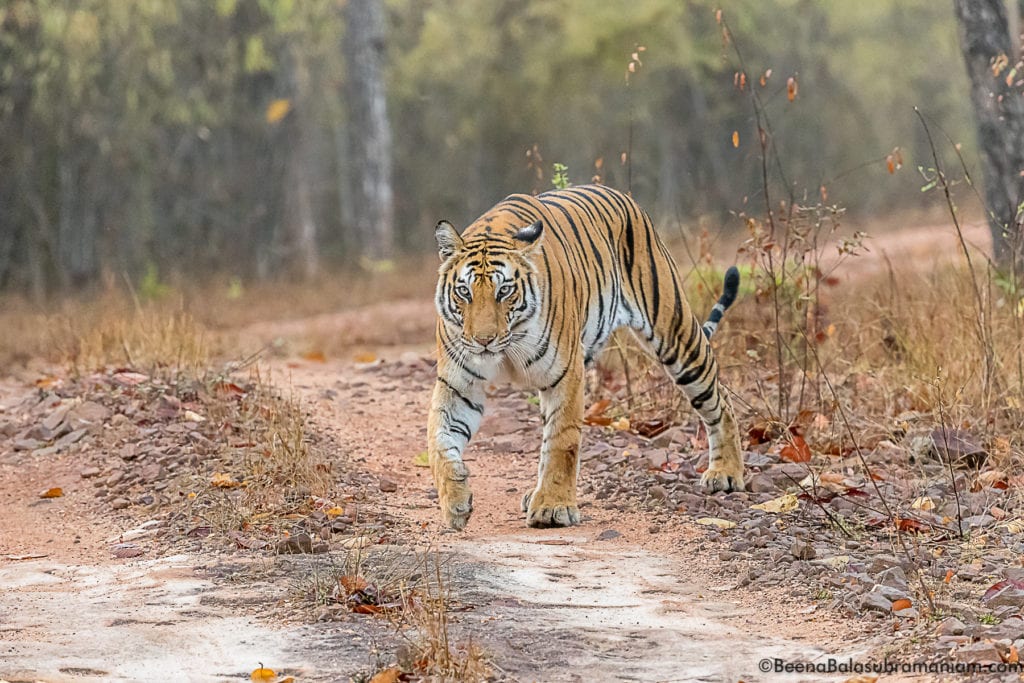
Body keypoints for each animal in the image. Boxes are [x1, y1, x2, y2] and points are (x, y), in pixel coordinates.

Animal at [425, 184, 745, 532]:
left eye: (504, 291)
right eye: (464, 292)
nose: (484, 340)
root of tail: (624, 196)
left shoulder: (566, 373)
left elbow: (562, 441)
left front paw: (552, 508)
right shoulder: (459, 385)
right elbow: (438, 440)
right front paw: (455, 500)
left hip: (676, 336)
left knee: (720, 399)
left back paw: (726, 473)